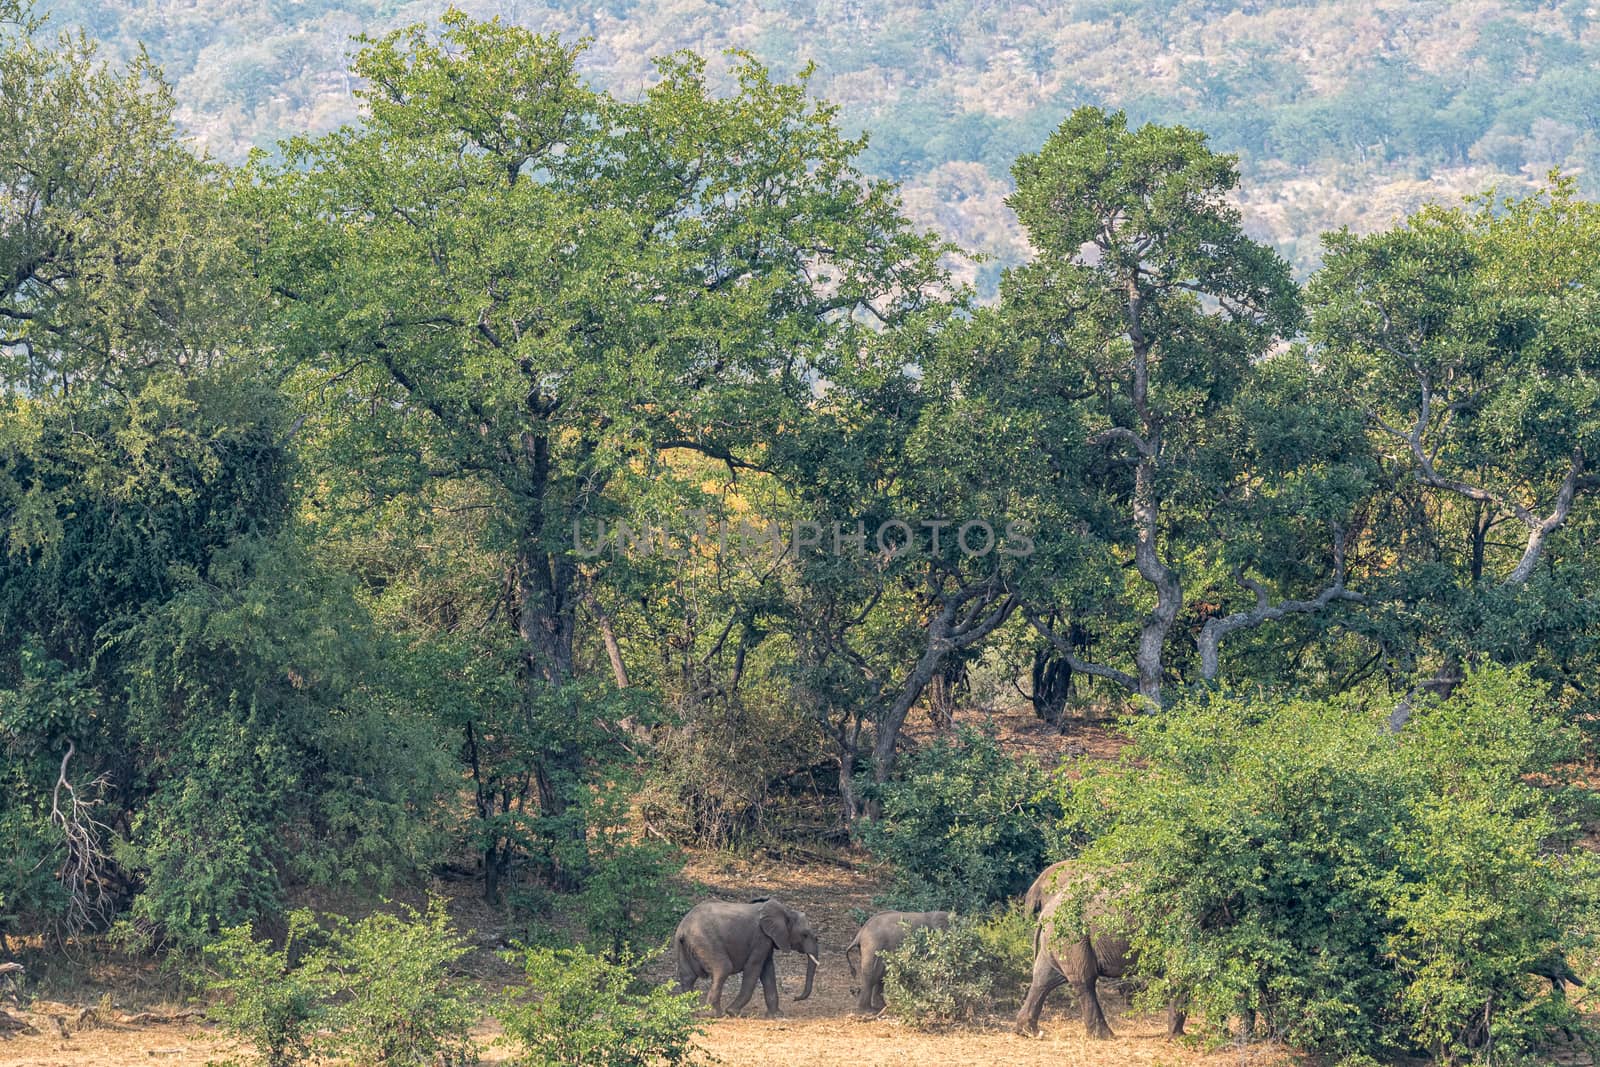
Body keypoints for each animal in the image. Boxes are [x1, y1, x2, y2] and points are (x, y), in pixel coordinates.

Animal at [672, 895, 819, 1017]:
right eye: (805, 934)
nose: (795, 998)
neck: (786, 911)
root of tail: (683, 928)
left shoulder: (767, 941)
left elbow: (767, 971)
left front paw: (776, 1015)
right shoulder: (761, 938)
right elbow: (754, 968)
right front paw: (732, 1012)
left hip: (683, 946)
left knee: (688, 976)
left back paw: (690, 1012)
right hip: (705, 940)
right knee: (723, 968)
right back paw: (715, 1014)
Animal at [1011, 857, 1190, 1043]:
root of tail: (1044, 913)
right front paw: (1178, 1039)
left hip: (1059, 937)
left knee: (1044, 978)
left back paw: (1028, 1032)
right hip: (1072, 936)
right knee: (1084, 979)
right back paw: (1104, 1036)